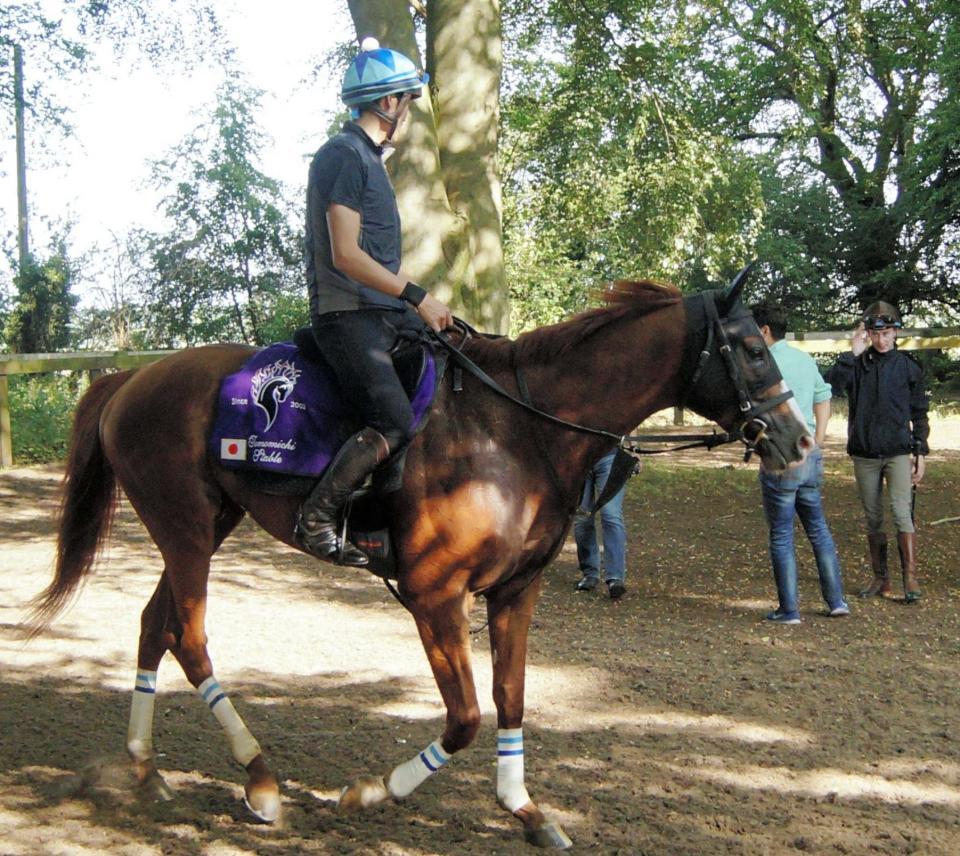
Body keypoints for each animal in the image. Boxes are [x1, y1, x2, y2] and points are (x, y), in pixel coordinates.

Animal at [30, 274, 808, 848]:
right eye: (751, 349)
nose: (797, 440)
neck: (518, 430)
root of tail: (133, 380)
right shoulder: (436, 595)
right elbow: (463, 717)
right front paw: (374, 791)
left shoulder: (516, 592)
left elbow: (510, 699)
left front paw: (525, 809)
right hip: (188, 532)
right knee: (188, 637)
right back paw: (260, 780)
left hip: (202, 528)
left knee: (152, 625)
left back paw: (145, 766)